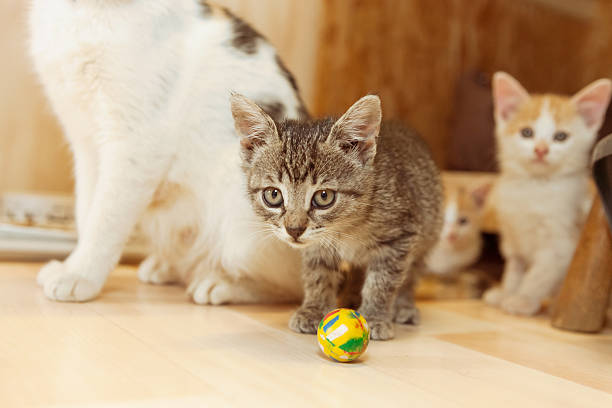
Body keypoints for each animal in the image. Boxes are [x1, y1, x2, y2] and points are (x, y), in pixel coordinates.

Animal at [28, 0, 306, 302]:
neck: (88, 15)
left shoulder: (136, 141)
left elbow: (104, 218)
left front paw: (80, 275)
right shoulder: (85, 141)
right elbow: (86, 210)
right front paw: (73, 265)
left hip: (241, 219)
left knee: (289, 285)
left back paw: (220, 283)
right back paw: (169, 266)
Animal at [230, 94, 440, 340]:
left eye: (324, 196)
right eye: (273, 195)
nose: (294, 230)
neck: (345, 227)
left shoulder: (400, 236)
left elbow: (383, 280)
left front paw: (375, 316)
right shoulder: (316, 245)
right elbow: (318, 275)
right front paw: (314, 309)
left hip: (427, 230)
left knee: (412, 271)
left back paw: (403, 306)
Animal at [482, 72, 612, 316]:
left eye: (561, 137)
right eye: (527, 132)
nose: (541, 149)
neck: (535, 187)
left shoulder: (559, 246)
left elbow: (539, 275)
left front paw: (522, 299)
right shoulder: (513, 238)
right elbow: (514, 270)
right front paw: (506, 292)